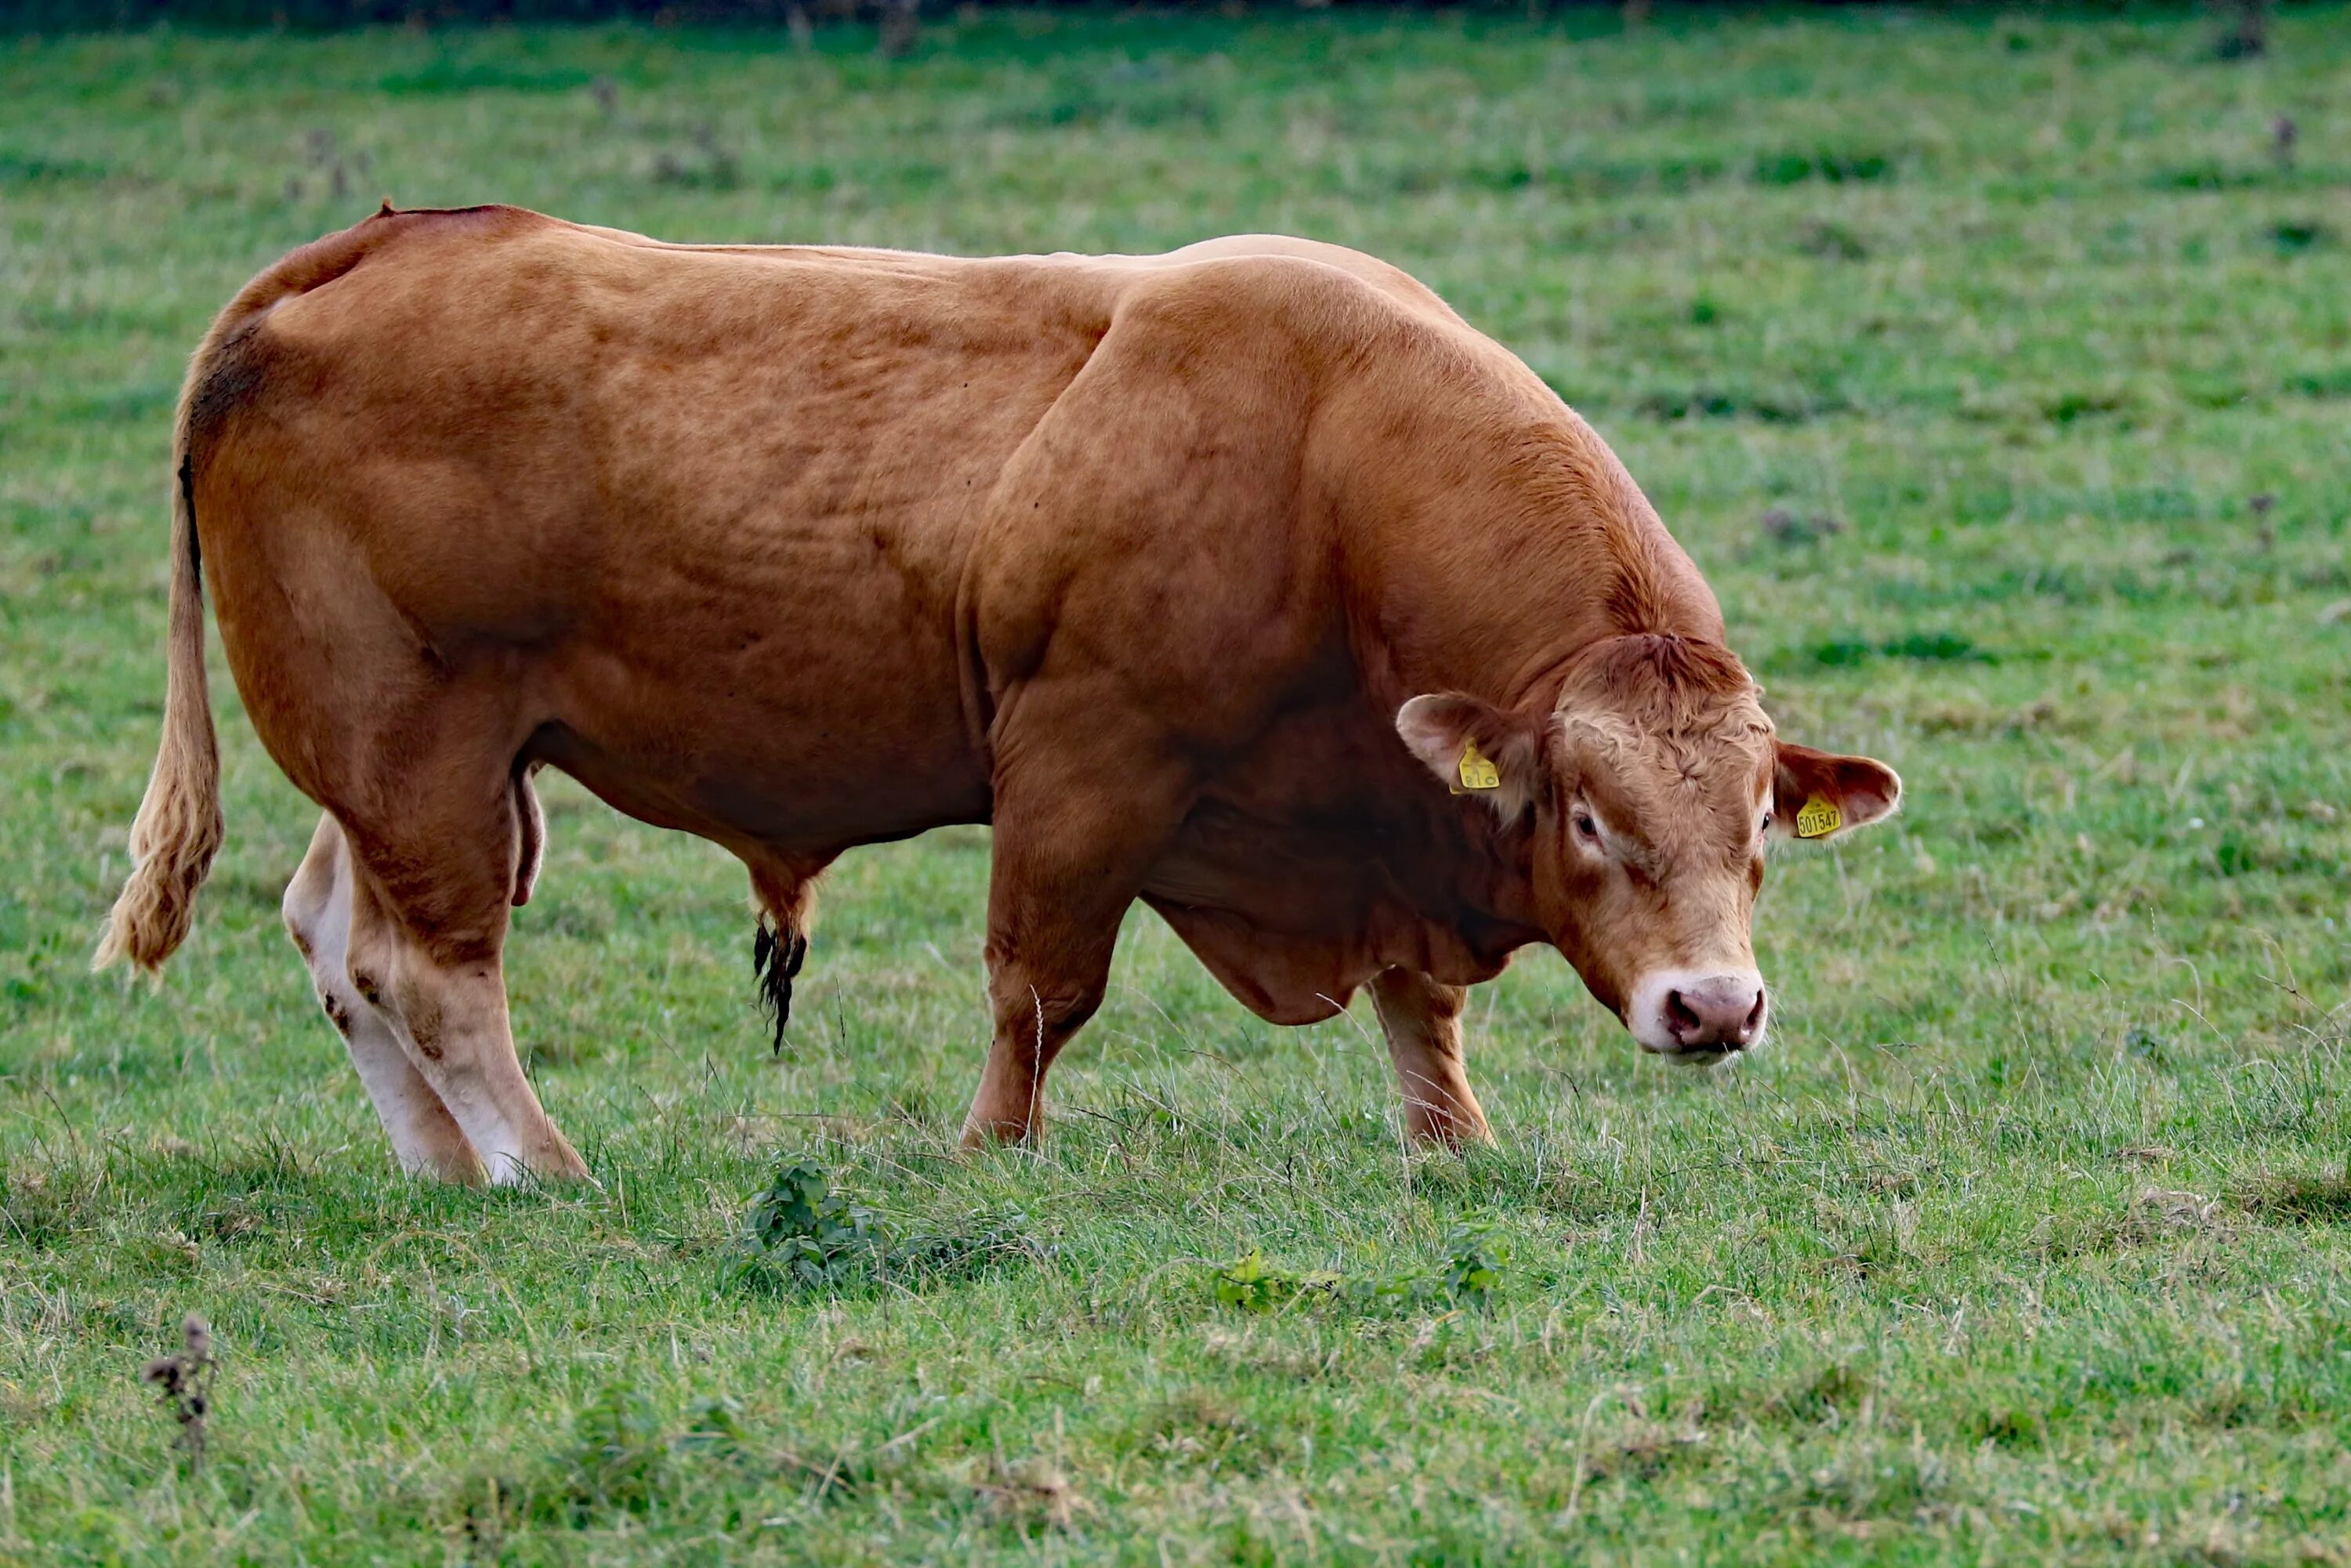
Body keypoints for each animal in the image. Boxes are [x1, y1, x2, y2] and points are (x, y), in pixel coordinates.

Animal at [101, 212, 1900, 1190]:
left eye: (1760, 829)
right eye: (1590, 819)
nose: (1715, 1008)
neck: (1326, 458)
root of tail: (372, 248)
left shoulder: (1372, 814)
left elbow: (1418, 1005)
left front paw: (1449, 1135)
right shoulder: (1083, 768)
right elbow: (1041, 988)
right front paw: (992, 1151)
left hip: (402, 773)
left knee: (342, 940)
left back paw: (448, 1170)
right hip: (424, 753)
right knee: (433, 969)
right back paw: (541, 1166)